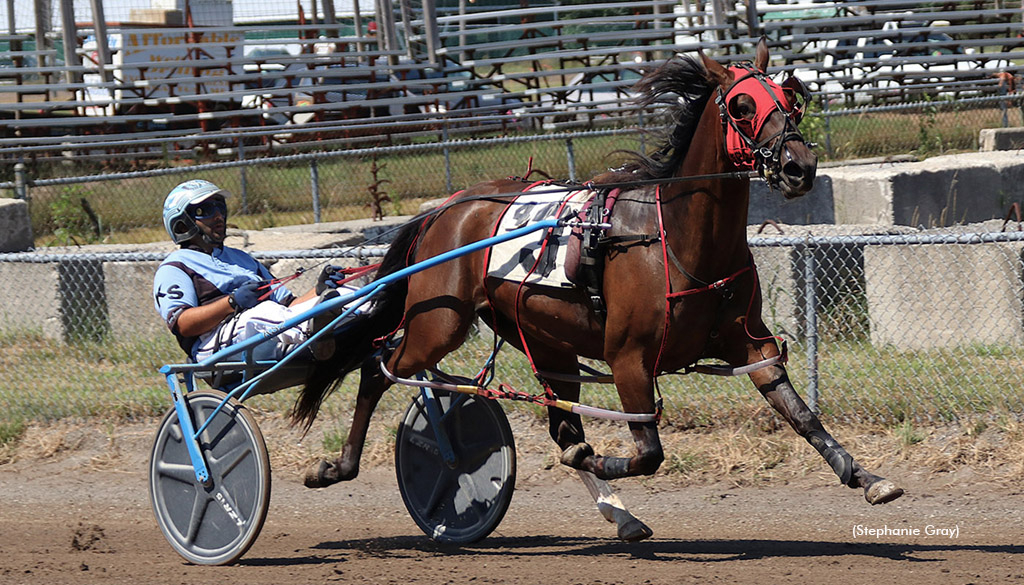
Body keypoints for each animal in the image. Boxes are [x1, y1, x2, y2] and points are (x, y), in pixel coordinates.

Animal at [292, 39, 901, 540]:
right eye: (741, 107)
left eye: (791, 101)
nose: (800, 167)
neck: (677, 239)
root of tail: (446, 208)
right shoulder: (629, 358)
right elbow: (649, 452)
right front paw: (605, 460)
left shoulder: (750, 343)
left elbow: (800, 413)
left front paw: (866, 476)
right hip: (437, 323)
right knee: (378, 368)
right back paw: (337, 467)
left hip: (545, 341)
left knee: (562, 425)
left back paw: (620, 515)